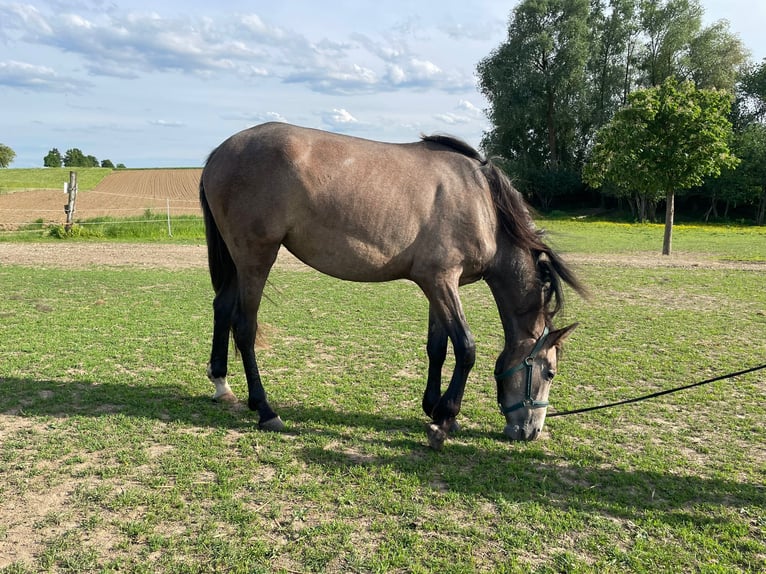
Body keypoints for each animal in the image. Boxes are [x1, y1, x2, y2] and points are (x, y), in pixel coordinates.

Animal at [200, 122, 588, 450]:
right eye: (550, 372)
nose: (531, 432)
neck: (482, 203)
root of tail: (220, 152)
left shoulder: (438, 284)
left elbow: (438, 348)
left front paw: (434, 408)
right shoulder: (442, 282)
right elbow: (466, 348)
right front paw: (443, 421)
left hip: (237, 260)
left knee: (222, 308)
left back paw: (222, 385)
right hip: (255, 257)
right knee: (244, 326)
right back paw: (266, 410)